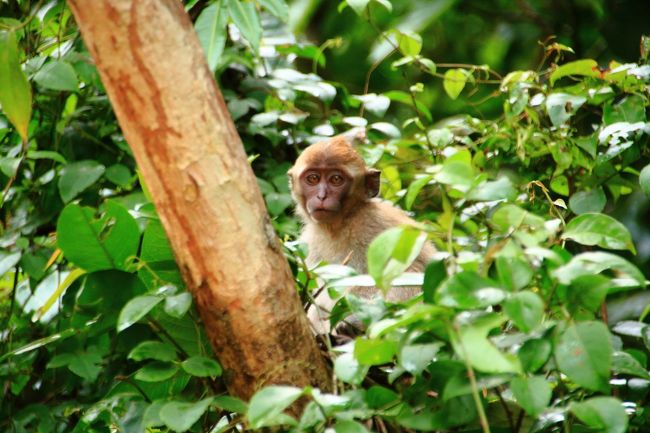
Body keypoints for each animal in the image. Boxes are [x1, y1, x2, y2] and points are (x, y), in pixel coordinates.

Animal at [288, 137, 430, 332]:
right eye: (313, 178)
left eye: (336, 179)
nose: (321, 196)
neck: (341, 224)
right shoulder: (311, 241)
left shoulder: (375, 224)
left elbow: (414, 270)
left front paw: (354, 321)